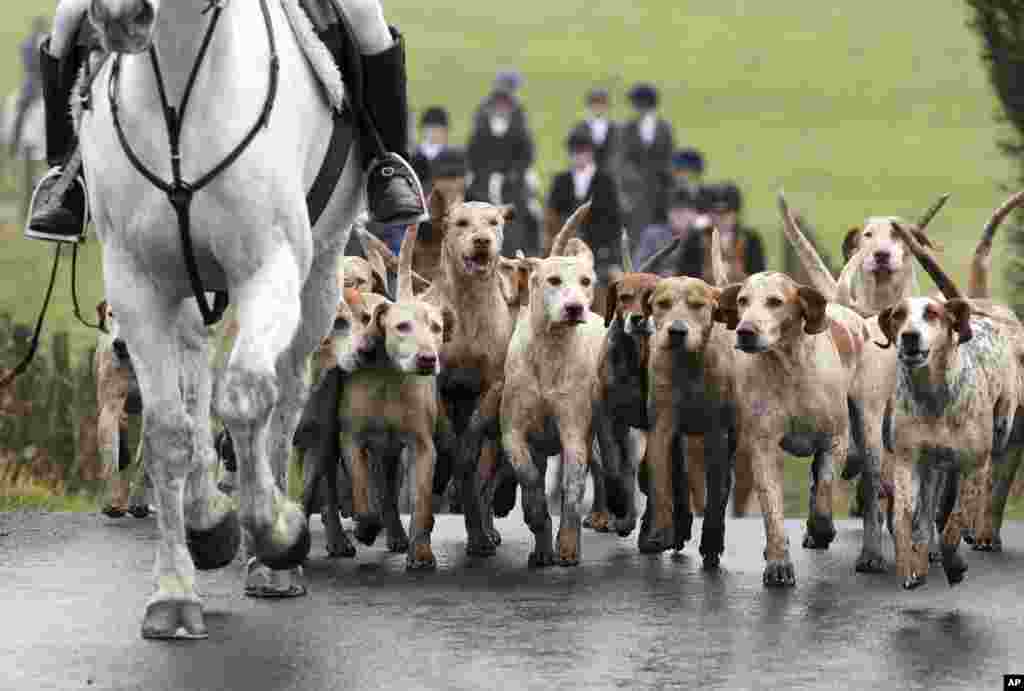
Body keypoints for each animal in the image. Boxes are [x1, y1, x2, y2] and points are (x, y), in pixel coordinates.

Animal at [79, 0, 362, 638]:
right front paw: (176, 586)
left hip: (319, 276)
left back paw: (273, 561)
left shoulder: (270, 266)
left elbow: (247, 397)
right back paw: (206, 514)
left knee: (286, 391)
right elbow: (167, 432)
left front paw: (278, 532)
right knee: (197, 375)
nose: (121, 17)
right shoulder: (138, 286)